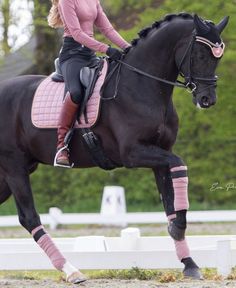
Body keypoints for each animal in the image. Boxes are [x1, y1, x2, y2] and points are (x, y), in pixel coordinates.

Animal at [0, 14, 229, 284]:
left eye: (218, 57)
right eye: (201, 55)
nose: (207, 100)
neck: (143, 84)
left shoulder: (159, 155)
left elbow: (170, 201)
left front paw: (188, 261)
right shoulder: (133, 153)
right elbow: (179, 164)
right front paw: (178, 229)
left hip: (10, 174)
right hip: (14, 167)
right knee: (29, 217)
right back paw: (72, 271)